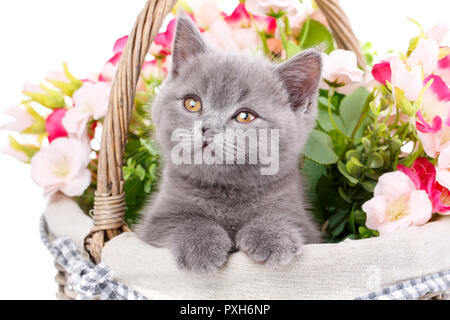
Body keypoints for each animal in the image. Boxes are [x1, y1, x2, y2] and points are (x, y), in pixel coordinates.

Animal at [135, 15, 322, 272]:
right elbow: (180, 220)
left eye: (244, 116)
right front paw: (201, 244)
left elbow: (283, 217)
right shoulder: (152, 225)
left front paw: (271, 235)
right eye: (192, 103)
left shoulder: (304, 223)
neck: (224, 190)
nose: (208, 128)